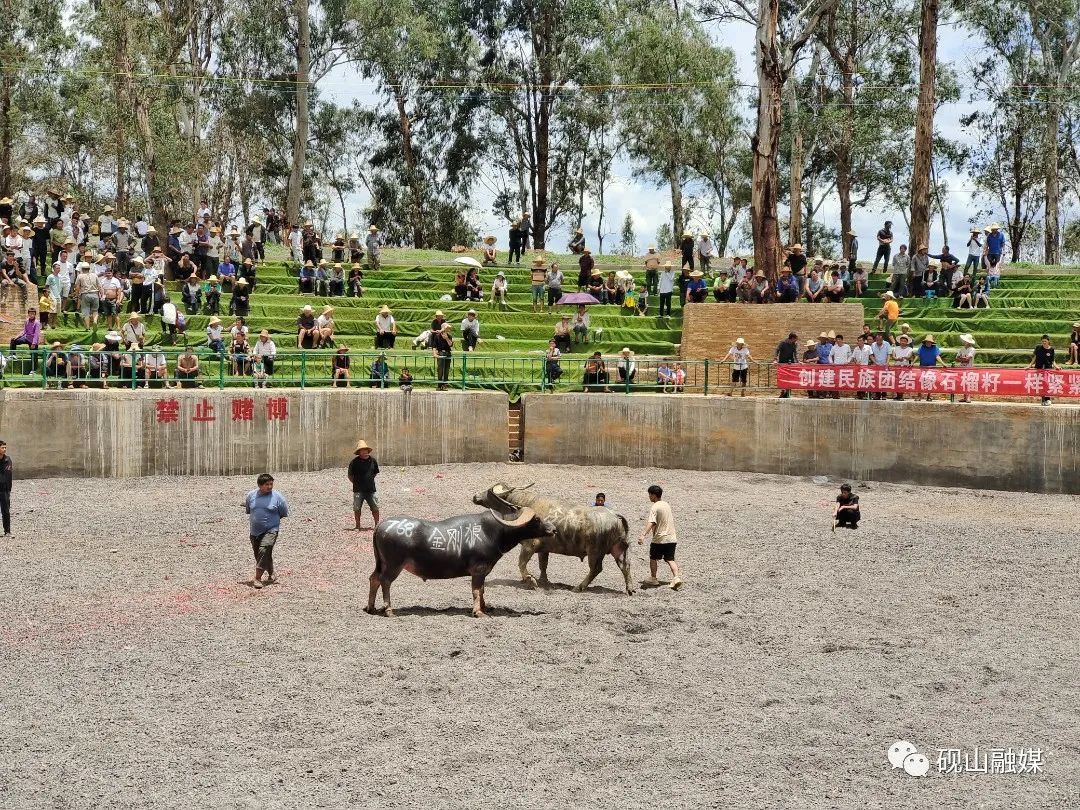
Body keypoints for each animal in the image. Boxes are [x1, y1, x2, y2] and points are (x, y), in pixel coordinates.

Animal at [369, 509, 557, 617]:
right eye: (536, 519)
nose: (554, 529)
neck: (493, 532)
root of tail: (381, 525)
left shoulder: (483, 571)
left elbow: (482, 590)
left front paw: (485, 607)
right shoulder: (478, 570)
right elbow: (476, 590)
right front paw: (478, 612)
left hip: (382, 564)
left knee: (374, 578)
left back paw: (371, 607)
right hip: (394, 565)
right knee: (385, 581)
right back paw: (388, 610)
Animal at [470, 481, 630, 596]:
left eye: (490, 491)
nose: (475, 496)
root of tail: (615, 515)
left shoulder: (528, 546)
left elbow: (521, 563)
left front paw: (530, 580)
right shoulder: (543, 549)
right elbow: (543, 565)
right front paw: (543, 581)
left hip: (594, 552)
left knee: (595, 569)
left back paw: (579, 587)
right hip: (619, 549)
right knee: (625, 565)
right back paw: (630, 589)